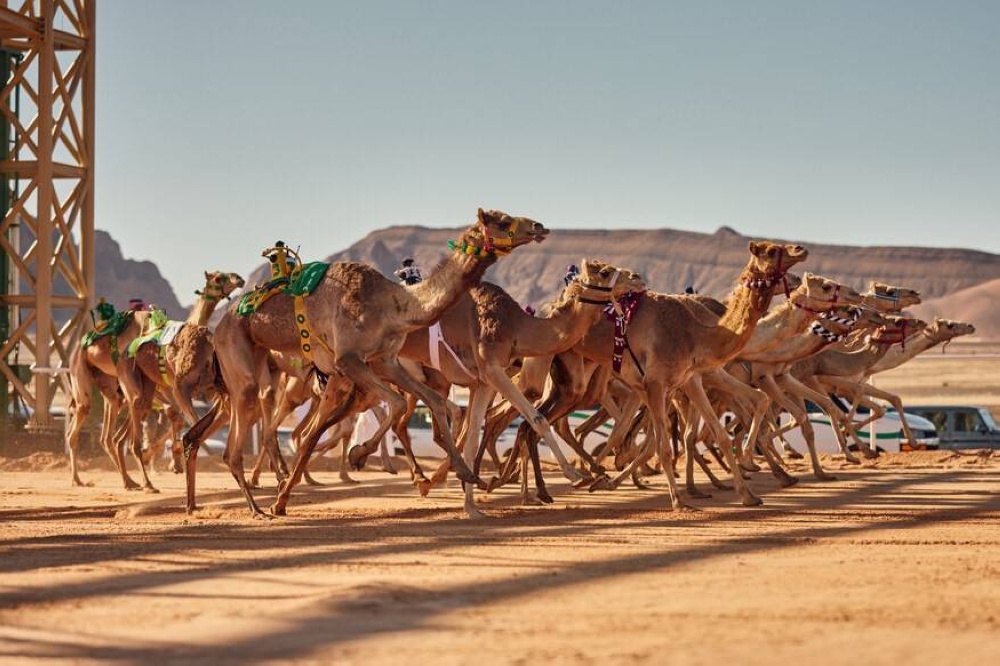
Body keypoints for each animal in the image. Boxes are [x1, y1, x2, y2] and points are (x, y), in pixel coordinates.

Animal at [203, 205, 548, 516]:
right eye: (501, 220)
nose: (539, 226)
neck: (394, 305)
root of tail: (220, 325)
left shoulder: (385, 361)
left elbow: (433, 403)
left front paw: (464, 472)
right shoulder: (349, 359)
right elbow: (396, 404)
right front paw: (360, 454)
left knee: (283, 431)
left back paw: (274, 498)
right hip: (241, 355)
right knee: (251, 433)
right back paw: (261, 506)